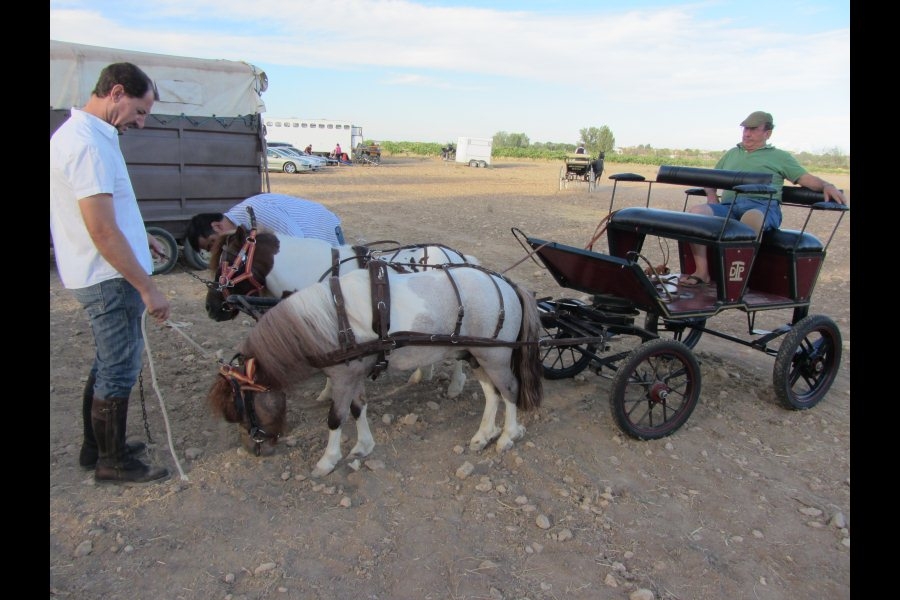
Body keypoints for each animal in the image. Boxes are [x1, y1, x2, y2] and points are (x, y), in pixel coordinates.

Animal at [208, 261, 544, 477]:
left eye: (242, 408)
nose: (253, 450)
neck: (331, 318)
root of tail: (508, 285)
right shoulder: (354, 376)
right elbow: (358, 409)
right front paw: (363, 446)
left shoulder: (343, 378)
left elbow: (335, 418)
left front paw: (327, 461)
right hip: (477, 356)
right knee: (492, 395)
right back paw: (483, 435)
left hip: (495, 357)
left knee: (510, 391)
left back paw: (507, 436)